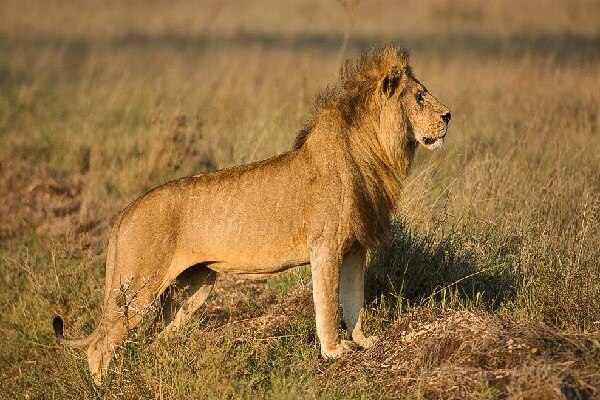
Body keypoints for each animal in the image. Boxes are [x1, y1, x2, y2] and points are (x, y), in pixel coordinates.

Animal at [52, 44, 450, 384]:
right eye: (419, 97)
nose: (449, 115)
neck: (374, 150)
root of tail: (126, 211)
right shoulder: (324, 247)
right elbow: (327, 303)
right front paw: (333, 351)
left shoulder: (354, 248)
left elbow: (354, 300)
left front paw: (362, 342)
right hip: (138, 285)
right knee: (100, 344)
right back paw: (105, 387)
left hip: (195, 288)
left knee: (157, 337)